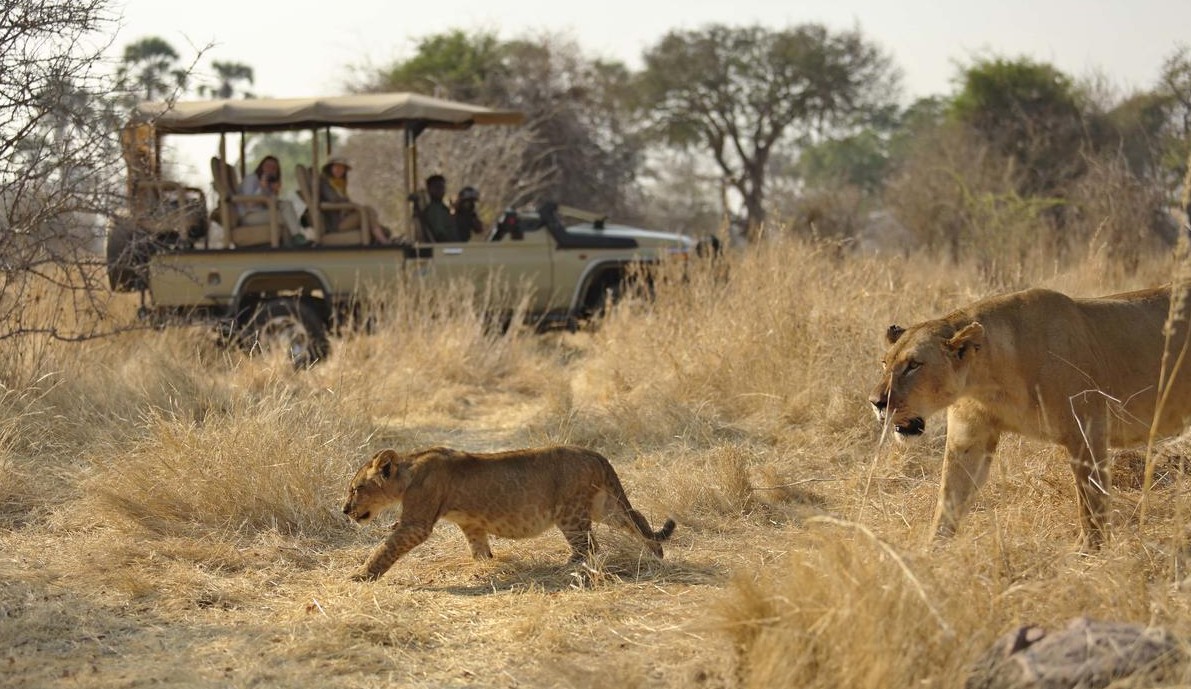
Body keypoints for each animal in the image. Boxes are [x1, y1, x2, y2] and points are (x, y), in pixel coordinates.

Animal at [342, 445, 677, 581]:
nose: (344, 510)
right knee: (637, 519)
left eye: (356, 489)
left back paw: (566, 568)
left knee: (589, 546)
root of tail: (596, 454)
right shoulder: (472, 524)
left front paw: (361, 575)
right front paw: (484, 567)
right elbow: (479, 549)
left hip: (570, 513)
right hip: (603, 506)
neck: (408, 472)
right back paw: (656, 553)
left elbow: (386, 548)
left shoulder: (416, 523)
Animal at [868, 285, 1191, 548]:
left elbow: (1091, 502)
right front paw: (929, 556)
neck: (988, 380)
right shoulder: (969, 438)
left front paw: (1090, 553)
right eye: (885, 363)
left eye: (914, 365)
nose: (876, 402)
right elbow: (949, 499)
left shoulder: (1087, 432)